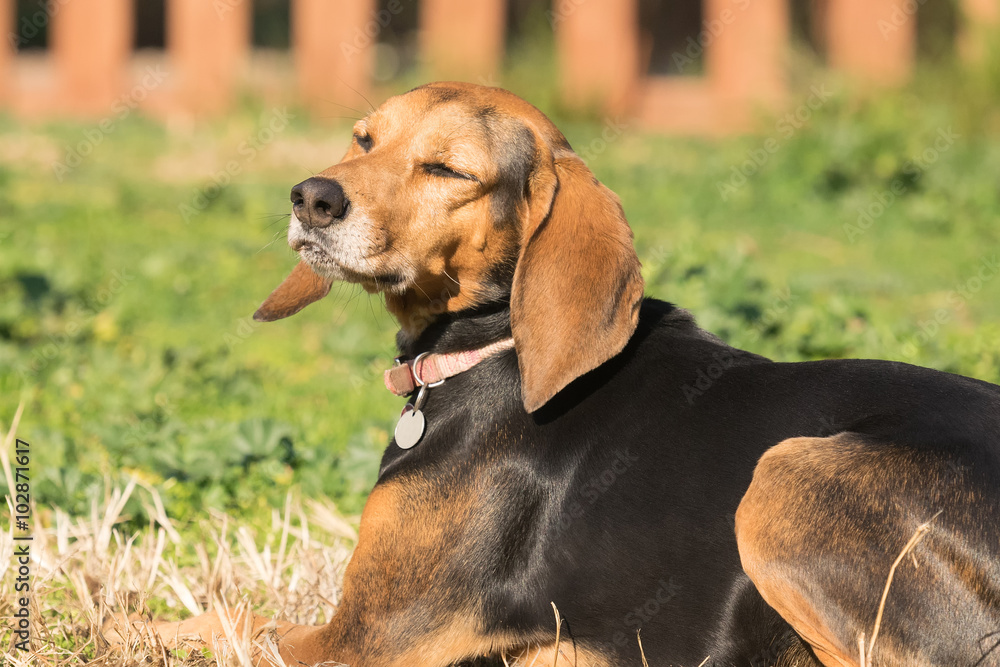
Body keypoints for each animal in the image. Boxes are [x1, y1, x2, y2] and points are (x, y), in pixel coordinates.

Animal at [133, 83, 1000, 667]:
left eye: (448, 170)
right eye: (363, 138)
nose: (312, 197)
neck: (490, 346)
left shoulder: (361, 639)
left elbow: (219, 621)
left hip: (788, 472)